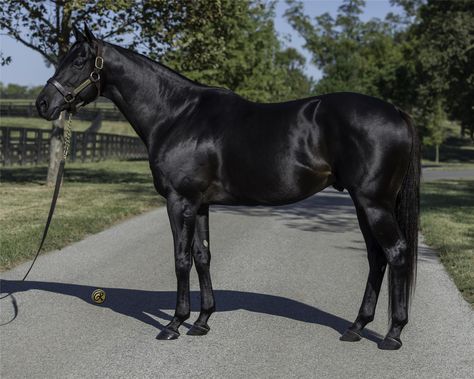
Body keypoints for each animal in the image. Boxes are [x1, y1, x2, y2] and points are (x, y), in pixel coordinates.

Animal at [38, 26, 422, 350]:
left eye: (78, 61)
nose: (43, 103)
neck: (177, 115)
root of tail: (397, 112)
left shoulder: (179, 201)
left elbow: (180, 259)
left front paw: (174, 324)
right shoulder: (200, 204)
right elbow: (202, 256)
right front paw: (202, 321)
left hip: (373, 202)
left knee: (396, 252)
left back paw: (392, 334)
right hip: (364, 203)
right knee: (376, 257)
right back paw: (356, 327)